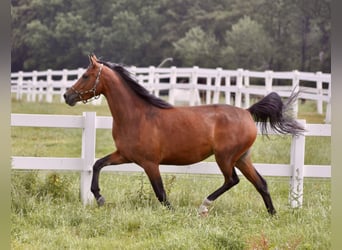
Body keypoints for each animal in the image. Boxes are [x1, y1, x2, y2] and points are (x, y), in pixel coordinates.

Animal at [64, 54, 304, 215]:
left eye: (85, 76)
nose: (67, 96)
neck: (137, 115)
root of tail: (247, 111)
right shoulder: (125, 155)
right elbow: (97, 164)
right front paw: (99, 197)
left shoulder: (149, 163)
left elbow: (160, 193)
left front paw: (172, 212)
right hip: (242, 158)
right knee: (261, 183)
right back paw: (272, 215)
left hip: (225, 157)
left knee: (232, 180)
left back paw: (204, 206)